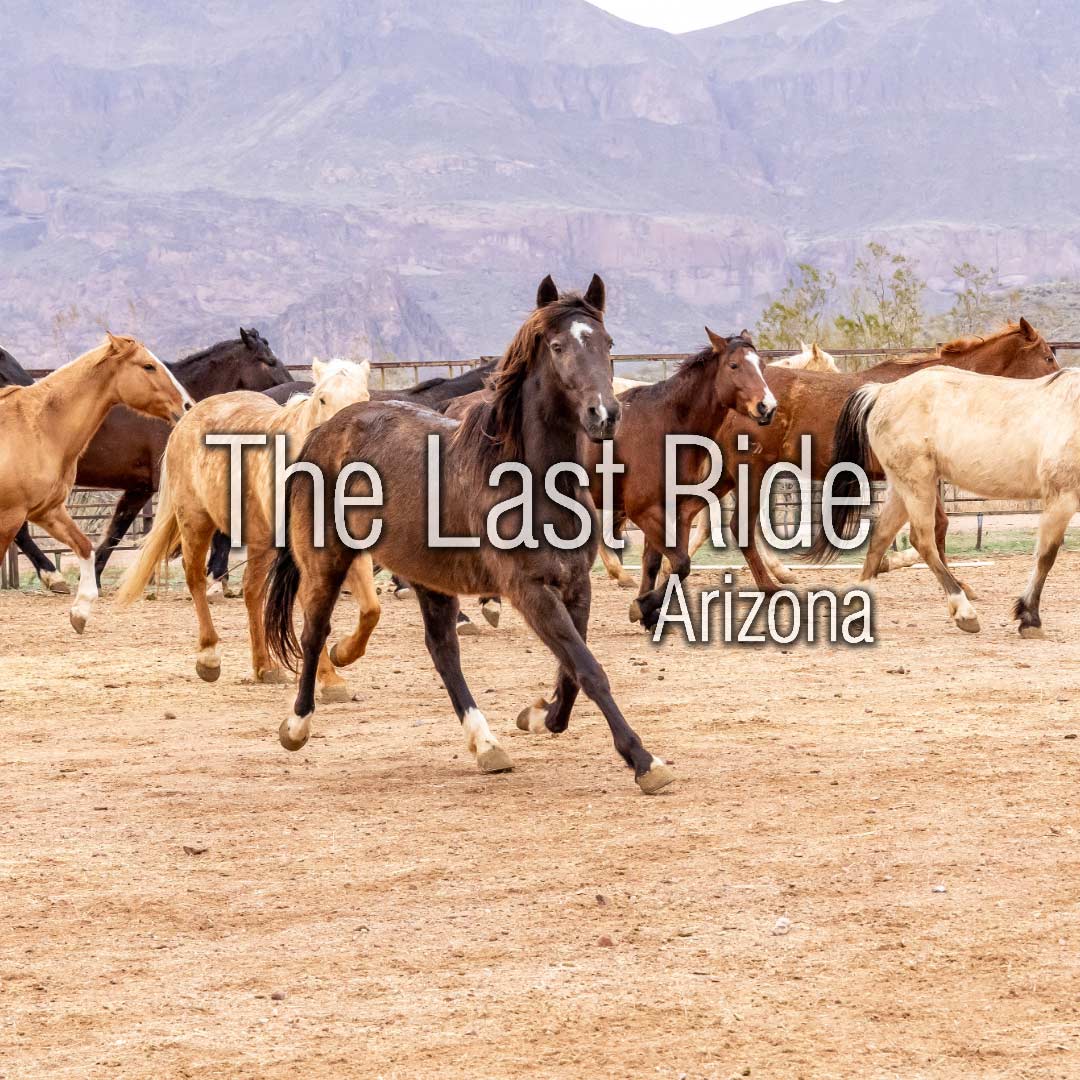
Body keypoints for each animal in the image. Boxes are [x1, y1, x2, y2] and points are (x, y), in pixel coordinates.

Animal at [0, 334, 193, 632]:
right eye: (148, 366)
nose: (186, 406)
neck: (37, 428)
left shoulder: (47, 511)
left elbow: (86, 546)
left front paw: (80, 612)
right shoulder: (10, 515)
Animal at [116, 359, 372, 700]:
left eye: (365, 398)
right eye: (322, 399)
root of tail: (189, 416)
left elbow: (370, 609)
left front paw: (342, 655)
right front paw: (331, 680)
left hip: (260, 541)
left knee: (252, 592)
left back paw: (265, 667)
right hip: (196, 522)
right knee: (196, 578)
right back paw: (209, 657)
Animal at [263, 275, 675, 794]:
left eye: (607, 343)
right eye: (558, 346)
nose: (605, 414)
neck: (528, 479)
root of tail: (324, 432)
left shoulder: (575, 585)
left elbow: (572, 671)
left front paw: (540, 716)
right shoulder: (529, 590)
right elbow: (588, 668)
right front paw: (644, 761)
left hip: (430, 578)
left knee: (443, 652)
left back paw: (487, 745)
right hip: (326, 560)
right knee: (315, 631)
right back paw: (297, 726)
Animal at [675, 320, 1059, 594]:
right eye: (1047, 356)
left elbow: (932, 527)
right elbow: (933, 527)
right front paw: (955, 584)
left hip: (728, 474)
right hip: (750, 469)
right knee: (738, 527)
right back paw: (770, 585)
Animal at [818, 366, 1080, 637]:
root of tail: (882, 391)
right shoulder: (1062, 500)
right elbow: (1046, 557)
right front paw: (1030, 619)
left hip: (902, 489)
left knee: (881, 536)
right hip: (918, 485)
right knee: (922, 541)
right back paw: (964, 611)